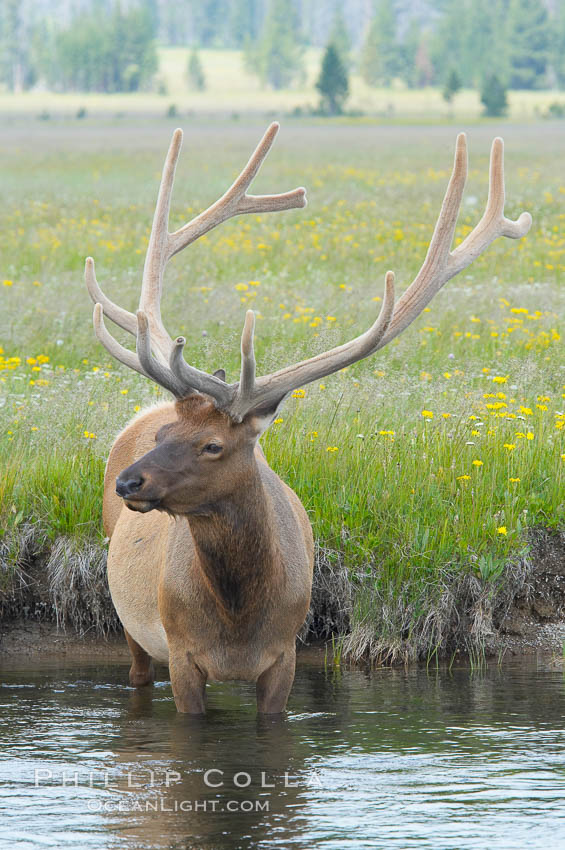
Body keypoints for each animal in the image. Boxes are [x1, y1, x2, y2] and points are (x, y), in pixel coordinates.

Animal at [83, 122, 528, 712]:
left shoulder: (285, 656)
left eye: (213, 445)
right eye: (164, 432)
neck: (238, 622)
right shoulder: (180, 653)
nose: (130, 482)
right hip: (132, 626)